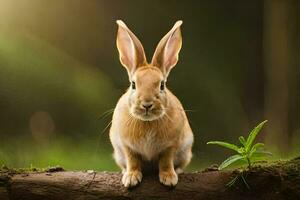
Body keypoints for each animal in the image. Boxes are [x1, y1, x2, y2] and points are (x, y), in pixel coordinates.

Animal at [110, 20, 195, 188]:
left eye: (162, 85)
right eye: (133, 84)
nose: (147, 104)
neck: (147, 122)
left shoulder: (170, 146)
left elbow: (166, 162)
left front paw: (169, 179)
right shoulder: (127, 147)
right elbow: (133, 161)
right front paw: (131, 178)